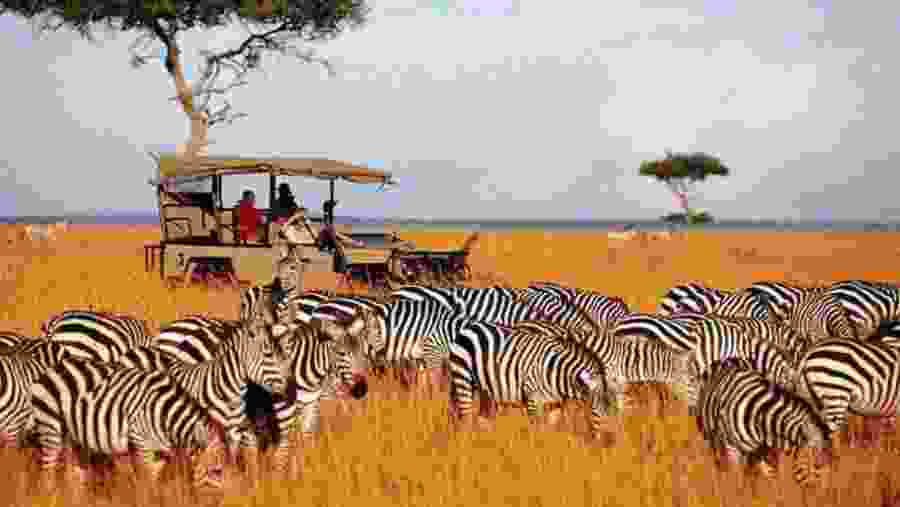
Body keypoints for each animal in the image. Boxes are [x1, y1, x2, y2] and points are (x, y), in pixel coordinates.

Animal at [30, 358, 227, 495]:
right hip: (50, 426)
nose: (224, 500)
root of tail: (53, 369)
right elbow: (147, 481)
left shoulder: (161, 451)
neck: (165, 415)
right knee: (47, 470)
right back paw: (49, 496)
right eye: (216, 471)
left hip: (73, 436)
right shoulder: (141, 443)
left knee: (75, 473)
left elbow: (154, 477)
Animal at [448, 321, 622, 440]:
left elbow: (550, 430)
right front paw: (536, 454)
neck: (557, 371)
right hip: (462, 377)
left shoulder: (555, 403)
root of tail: (470, 327)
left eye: (613, 411)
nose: (609, 442)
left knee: (482, 419)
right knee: (465, 418)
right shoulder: (532, 398)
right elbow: (536, 430)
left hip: (485, 388)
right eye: (595, 411)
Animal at [696, 358, 833, 488]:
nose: (819, 494)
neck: (759, 418)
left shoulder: (767, 449)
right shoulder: (733, 448)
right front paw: (739, 493)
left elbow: (771, 474)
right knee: (719, 461)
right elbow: (739, 478)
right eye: (817, 465)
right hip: (712, 437)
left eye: (825, 464)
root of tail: (729, 359)